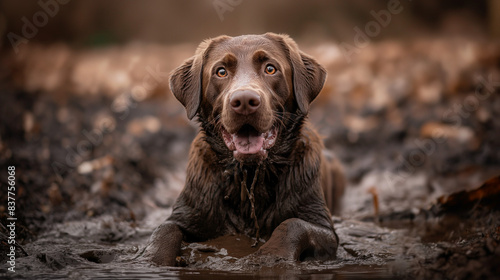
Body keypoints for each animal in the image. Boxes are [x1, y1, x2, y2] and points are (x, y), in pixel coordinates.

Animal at [143, 33, 342, 266]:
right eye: (221, 71)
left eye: (270, 68)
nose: (245, 100)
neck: (249, 174)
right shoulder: (185, 215)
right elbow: (163, 231)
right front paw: (153, 261)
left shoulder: (324, 227)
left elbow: (292, 224)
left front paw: (270, 257)